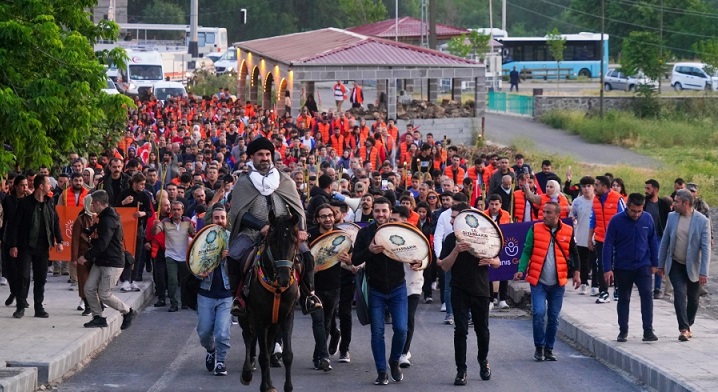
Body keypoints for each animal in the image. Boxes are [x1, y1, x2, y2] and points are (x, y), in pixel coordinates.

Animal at [240, 214, 300, 392]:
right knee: (248, 336)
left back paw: (270, 383)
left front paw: (287, 387)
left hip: (272, 322)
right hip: (246, 316)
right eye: (272, 241)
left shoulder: (287, 317)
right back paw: (247, 373)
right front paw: (263, 386)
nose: (284, 278)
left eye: (294, 240)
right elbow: (263, 356)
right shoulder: (259, 319)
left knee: (268, 342)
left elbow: (287, 355)